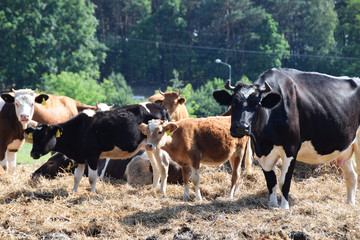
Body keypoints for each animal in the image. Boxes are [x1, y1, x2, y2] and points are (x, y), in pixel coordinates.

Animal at [25, 102, 170, 192]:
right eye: (34, 136)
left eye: (45, 135)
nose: (33, 153)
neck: (79, 129)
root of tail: (161, 107)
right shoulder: (80, 158)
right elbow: (77, 176)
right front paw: (74, 191)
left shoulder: (93, 157)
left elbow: (91, 178)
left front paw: (92, 193)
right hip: (149, 147)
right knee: (156, 167)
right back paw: (153, 189)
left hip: (158, 146)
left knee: (163, 165)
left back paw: (161, 191)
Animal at [212, 67, 360, 208]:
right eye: (233, 102)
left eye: (258, 104)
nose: (241, 127)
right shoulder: (261, 152)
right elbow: (271, 180)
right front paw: (272, 205)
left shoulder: (291, 149)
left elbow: (284, 181)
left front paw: (284, 207)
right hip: (345, 149)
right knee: (351, 176)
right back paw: (350, 203)